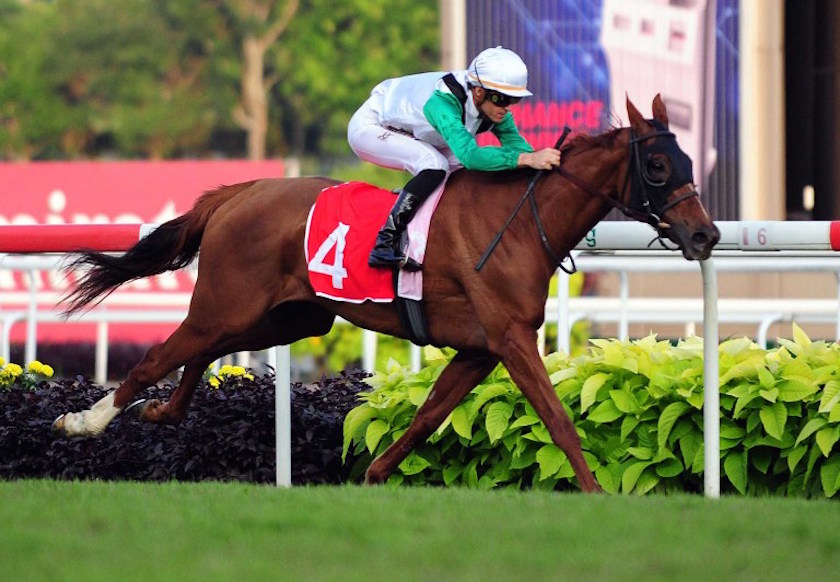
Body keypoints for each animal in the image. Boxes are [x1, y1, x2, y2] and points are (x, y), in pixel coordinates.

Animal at [52, 95, 719, 493]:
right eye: (658, 166)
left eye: (689, 160)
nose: (705, 234)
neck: (519, 221)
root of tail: (237, 193)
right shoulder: (509, 338)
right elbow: (556, 417)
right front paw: (595, 492)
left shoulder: (480, 348)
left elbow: (428, 416)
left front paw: (372, 477)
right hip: (229, 304)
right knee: (161, 354)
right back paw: (84, 421)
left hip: (290, 317)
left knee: (199, 353)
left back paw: (162, 412)